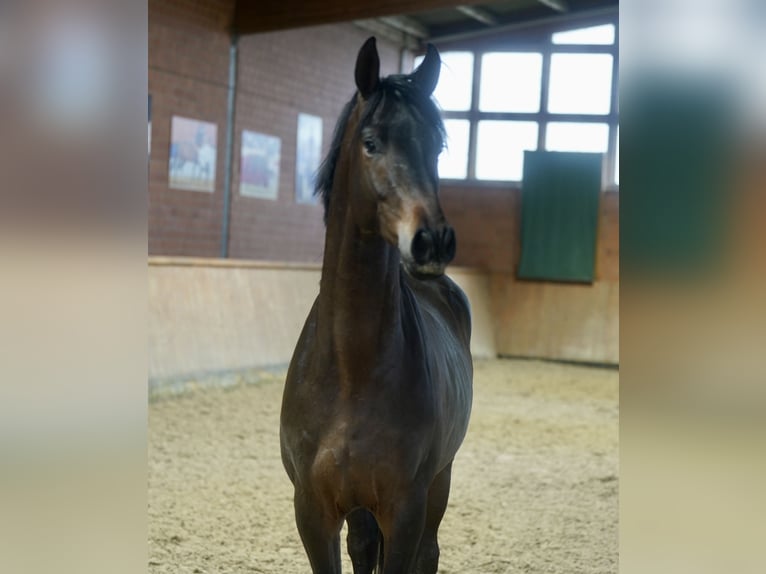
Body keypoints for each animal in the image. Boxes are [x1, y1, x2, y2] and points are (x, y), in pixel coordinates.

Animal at [282, 38, 474, 572]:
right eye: (371, 143)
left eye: (438, 145)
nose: (432, 241)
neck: (353, 371)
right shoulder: (313, 512)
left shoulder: (404, 508)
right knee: (364, 546)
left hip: (440, 482)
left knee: (429, 551)